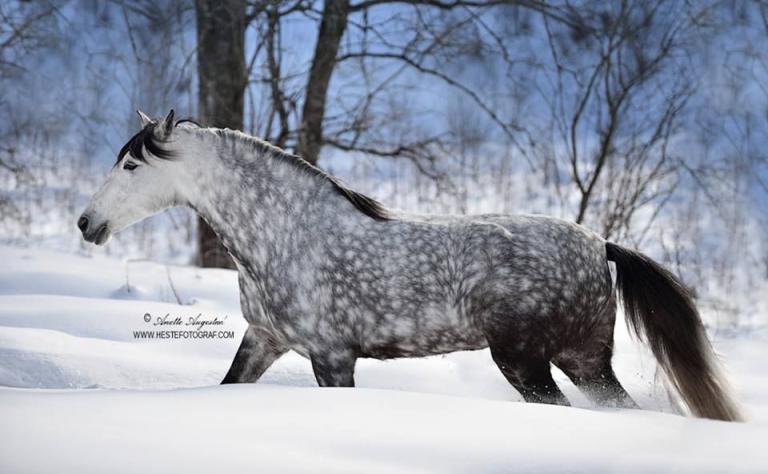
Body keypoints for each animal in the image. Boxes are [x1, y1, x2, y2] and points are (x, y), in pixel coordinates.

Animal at [78, 109, 742, 421]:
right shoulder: (266, 339)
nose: (87, 223)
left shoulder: (332, 358)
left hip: (527, 362)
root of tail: (599, 243)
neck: (286, 236)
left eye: (132, 165)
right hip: (583, 360)